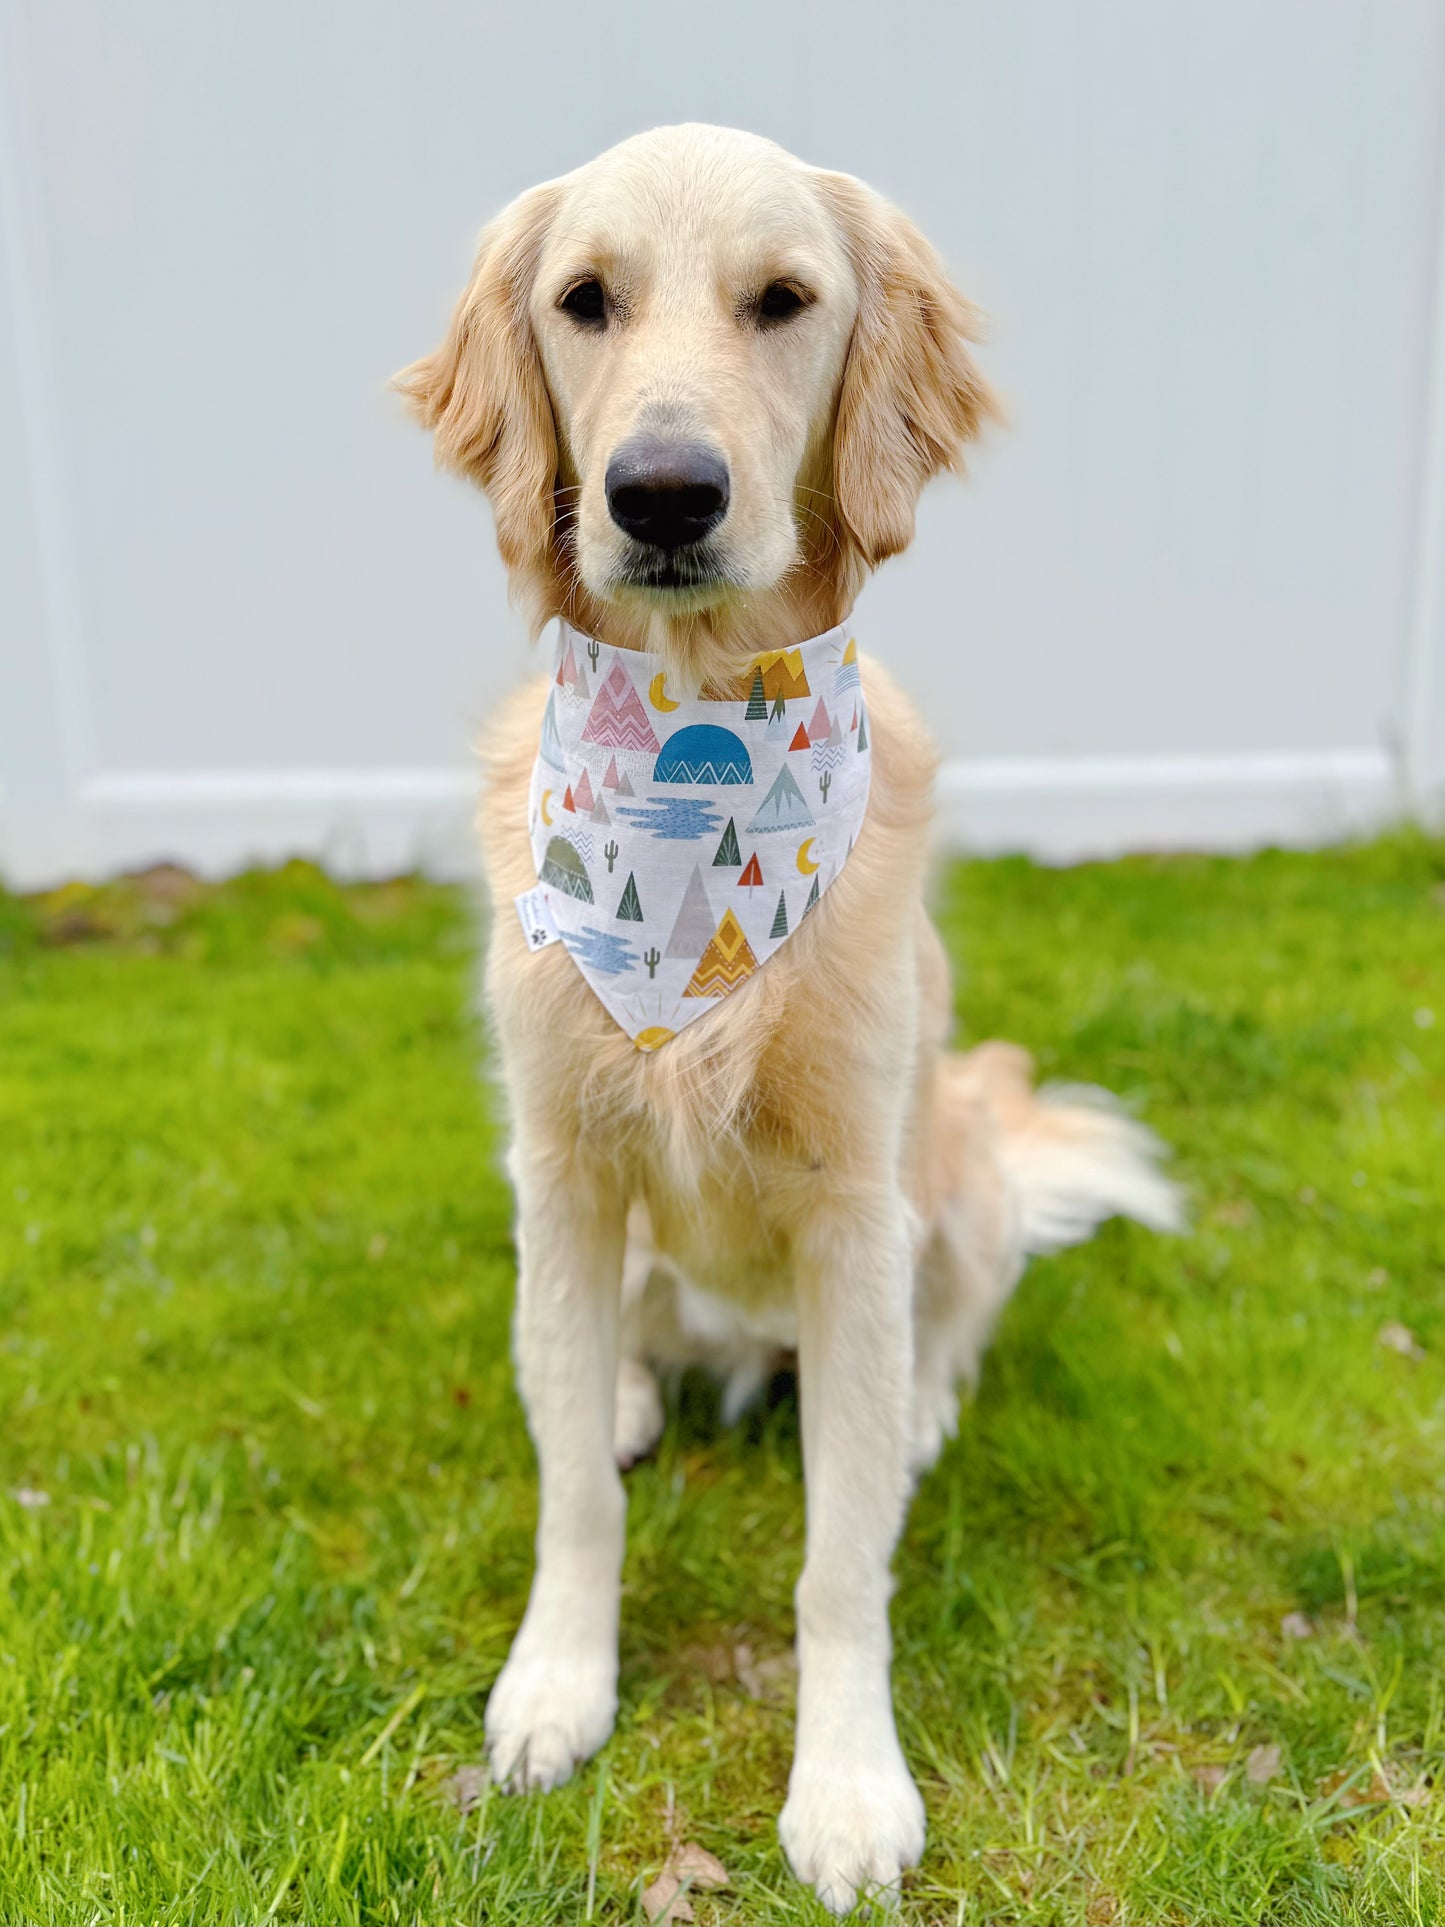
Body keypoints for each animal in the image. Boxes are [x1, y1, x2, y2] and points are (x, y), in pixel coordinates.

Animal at [393, 124, 1179, 1911]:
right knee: (609, 1359)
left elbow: (838, 1563)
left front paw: (846, 1783)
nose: (663, 494)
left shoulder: (852, 1205)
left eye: (783, 301)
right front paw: (555, 1684)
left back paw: (919, 1407)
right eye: (585, 299)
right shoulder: (563, 1168)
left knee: (937, 1334)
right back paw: (624, 1388)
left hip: (953, 1173)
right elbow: (569, 1493)